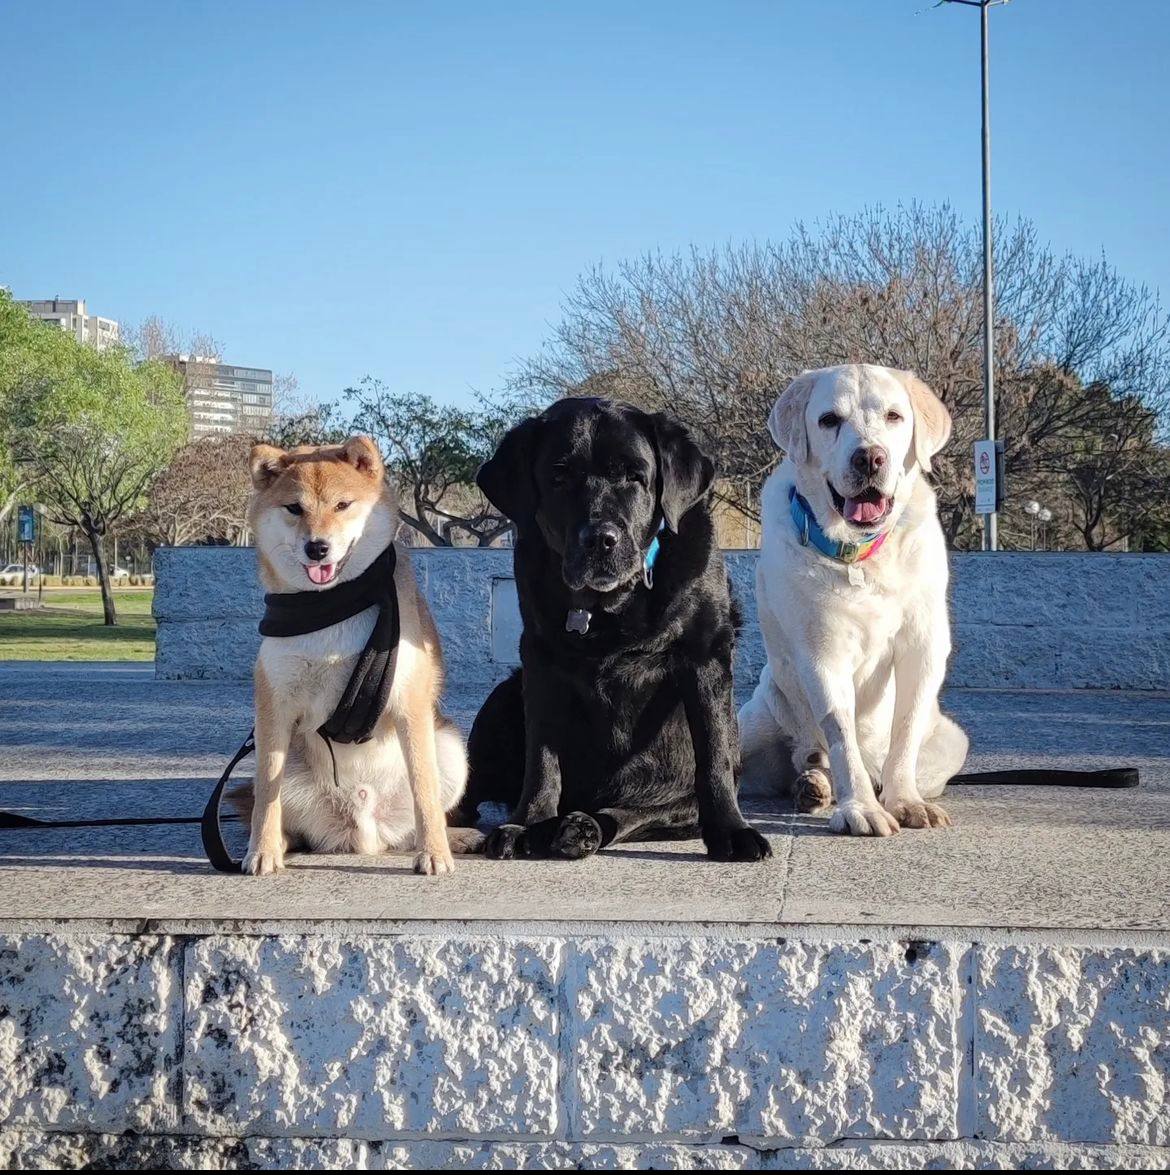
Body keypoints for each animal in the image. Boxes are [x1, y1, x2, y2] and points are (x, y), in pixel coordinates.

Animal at [237, 437, 479, 878]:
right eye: (294, 508)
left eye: (342, 505)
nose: (317, 547)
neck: (333, 604)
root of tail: (364, 829)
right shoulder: (274, 708)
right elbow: (266, 793)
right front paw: (261, 849)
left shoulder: (409, 704)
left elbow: (425, 791)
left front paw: (435, 853)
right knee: (285, 817)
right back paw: (280, 843)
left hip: (451, 747)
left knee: (417, 821)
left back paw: (455, 838)